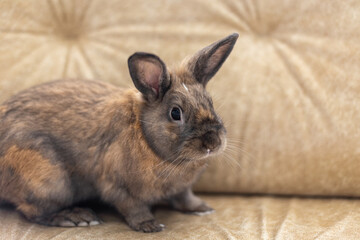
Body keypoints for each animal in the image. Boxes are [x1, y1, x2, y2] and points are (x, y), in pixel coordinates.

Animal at [0, 32, 239, 232]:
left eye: (210, 103)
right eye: (175, 113)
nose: (213, 142)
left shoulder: (182, 189)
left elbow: (184, 198)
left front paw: (202, 208)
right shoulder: (117, 187)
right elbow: (133, 208)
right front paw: (149, 225)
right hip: (50, 181)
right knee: (34, 211)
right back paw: (76, 217)